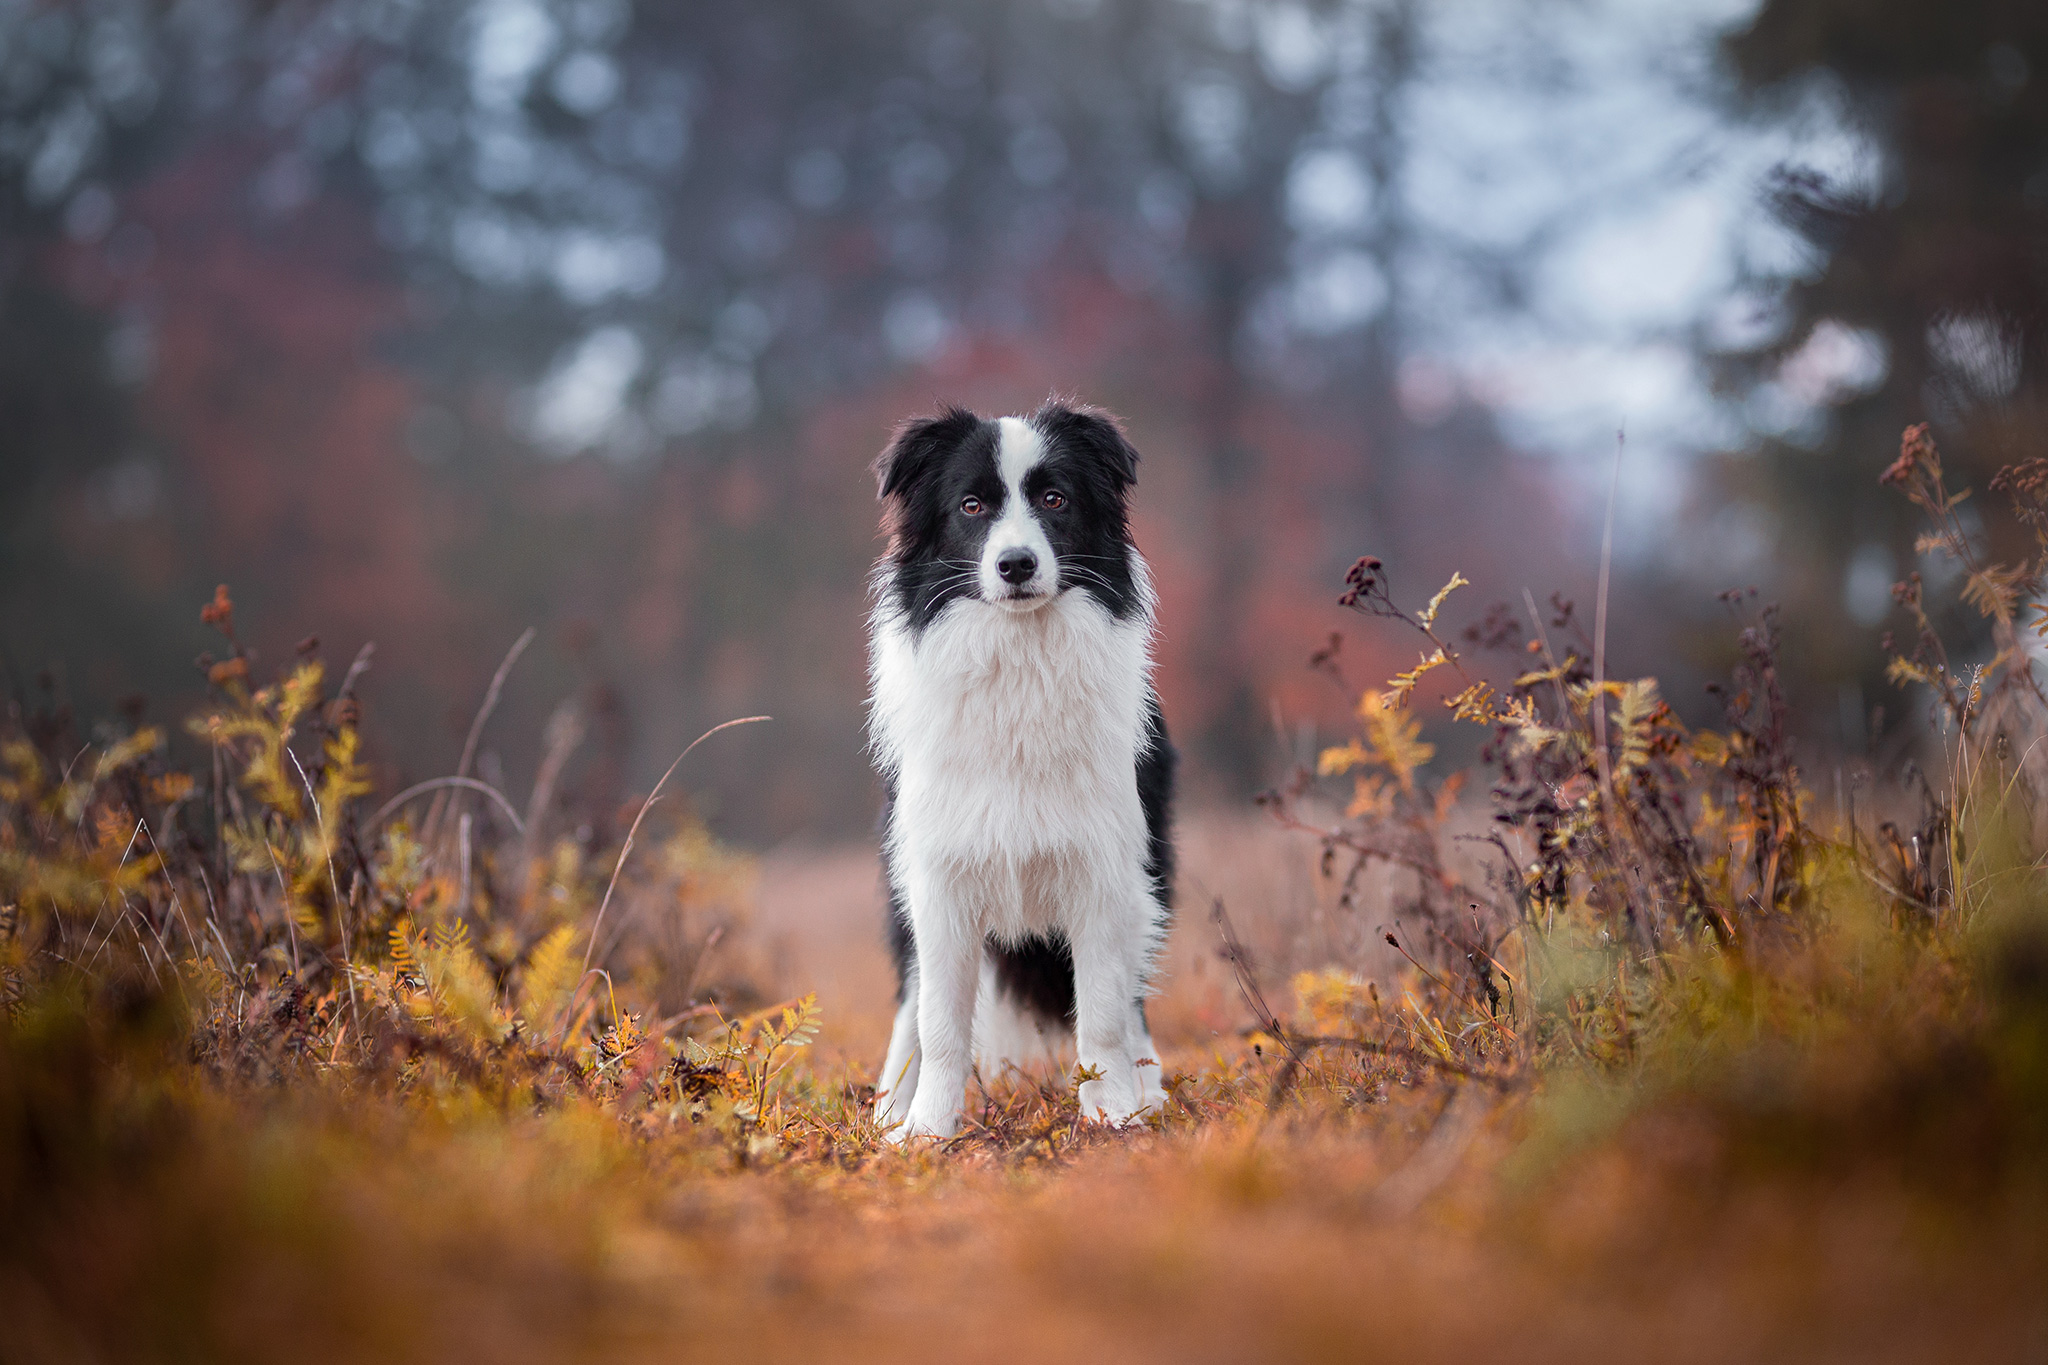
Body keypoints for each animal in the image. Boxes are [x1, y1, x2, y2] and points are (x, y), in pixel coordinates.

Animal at [868, 397, 1187, 1146]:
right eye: (972, 505)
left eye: (1054, 499)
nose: (1015, 564)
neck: (1018, 659)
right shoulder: (938, 877)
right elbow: (939, 1021)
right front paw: (926, 1131)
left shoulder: (1104, 870)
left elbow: (1103, 1014)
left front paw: (1113, 1113)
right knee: (910, 1000)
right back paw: (889, 1108)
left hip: (1149, 879)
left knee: (1132, 997)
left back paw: (1150, 1088)